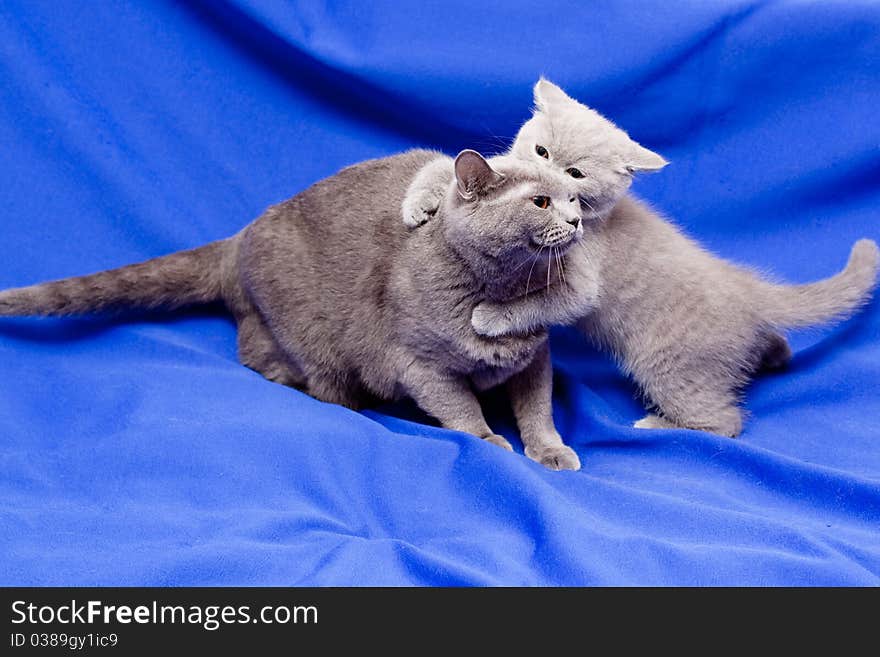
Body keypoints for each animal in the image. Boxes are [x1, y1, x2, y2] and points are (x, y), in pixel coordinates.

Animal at [3, 147, 592, 468]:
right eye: (541, 202)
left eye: (573, 199)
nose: (576, 220)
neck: (501, 291)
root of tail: (240, 237)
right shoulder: (420, 366)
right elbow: (461, 408)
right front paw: (491, 439)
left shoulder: (535, 357)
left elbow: (538, 409)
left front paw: (551, 451)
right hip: (311, 339)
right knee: (268, 358)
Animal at [402, 79, 876, 436]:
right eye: (542, 152)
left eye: (575, 175)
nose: (552, 181)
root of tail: (743, 285)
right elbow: (446, 169)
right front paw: (417, 202)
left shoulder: (581, 280)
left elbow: (545, 301)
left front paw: (490, 316)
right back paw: (773, 353)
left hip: (668, 367)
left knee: (725, 423)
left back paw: (659, 424)